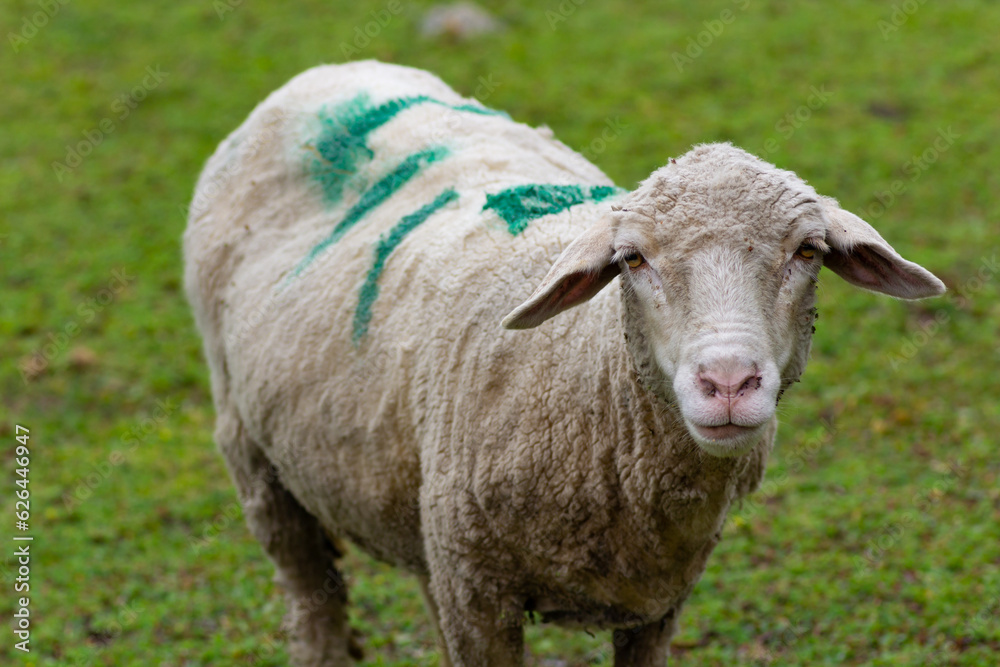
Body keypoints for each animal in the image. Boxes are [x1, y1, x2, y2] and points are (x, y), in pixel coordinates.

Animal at [183, 60, 946, 666]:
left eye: (808, 252)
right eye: (632, 259)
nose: (728, 383)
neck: (586, 373)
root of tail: (330, 71)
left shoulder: (656, 602)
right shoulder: (478, 594)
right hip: (254, 455)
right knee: (312, 602)